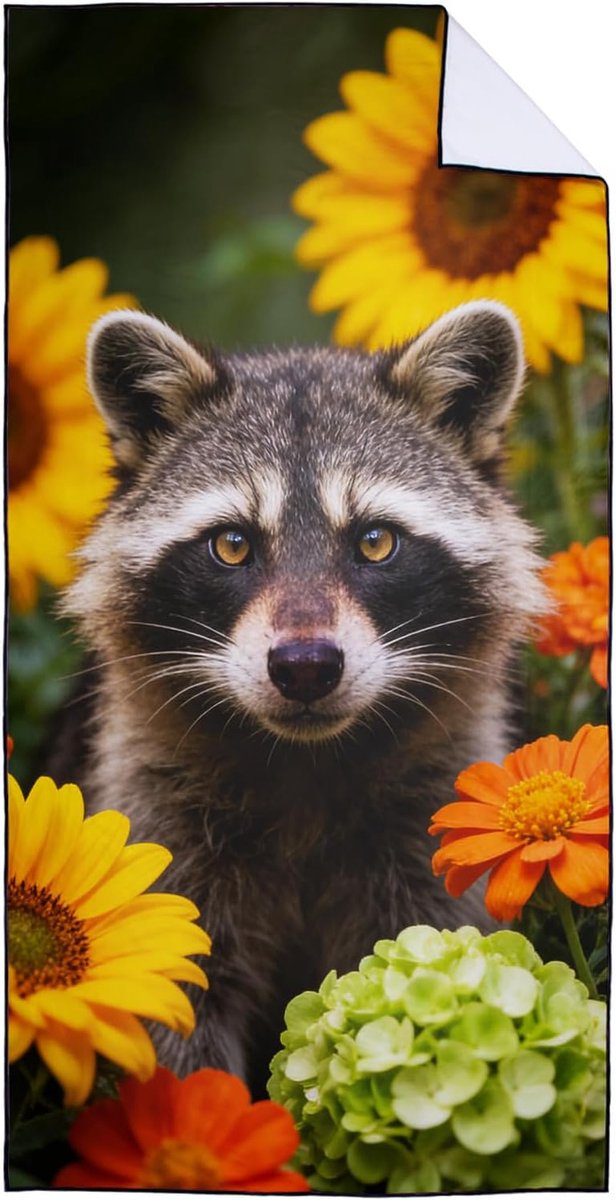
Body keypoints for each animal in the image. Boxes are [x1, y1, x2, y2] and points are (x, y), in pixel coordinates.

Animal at [62, 300, 547, 1092]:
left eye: (375, 541)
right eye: (231, 545)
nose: (306, 668)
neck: (305, 759)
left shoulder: (437, 821)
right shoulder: (158, 819)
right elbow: (175, 1014)